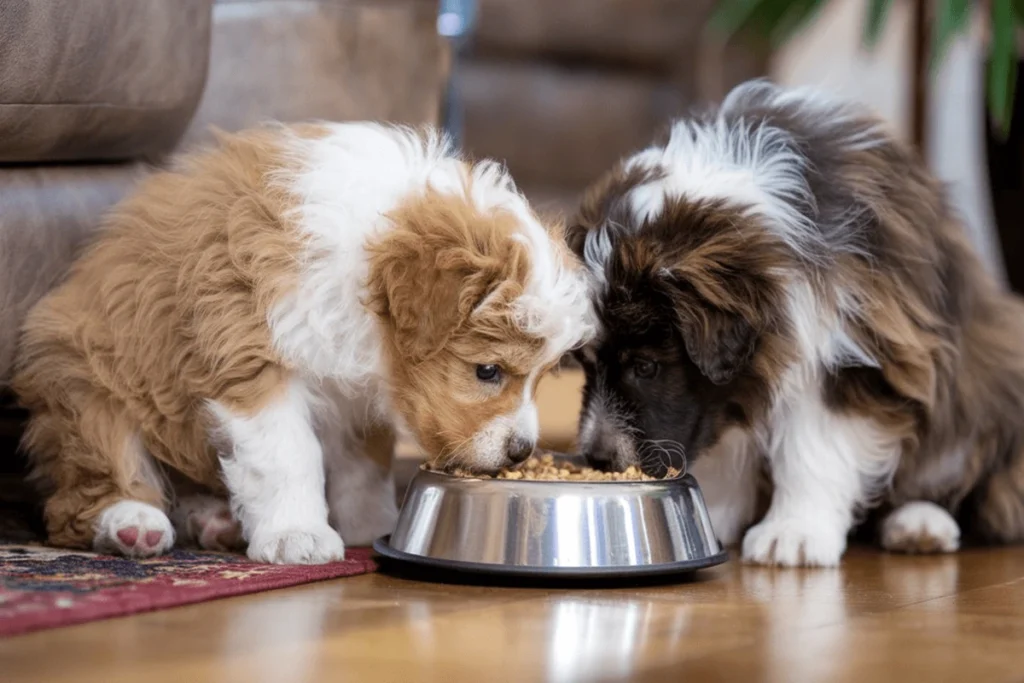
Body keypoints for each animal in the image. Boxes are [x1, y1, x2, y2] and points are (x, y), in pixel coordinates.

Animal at [14, 122, 593, 565]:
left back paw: (216, 521)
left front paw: (372, 522)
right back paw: (132, 523)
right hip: (87, 384)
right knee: (87, 489)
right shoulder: (252, 359)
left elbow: (363, 464)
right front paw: (299, 535)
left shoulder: (358, 397)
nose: (521, 451)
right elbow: (288, 455)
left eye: (541, 378)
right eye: (487, 371)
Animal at [565, 81, 1024, 565]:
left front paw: (794, 534)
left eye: (646, 367)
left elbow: (814, 445)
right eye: (587, 365)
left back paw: (920, 523)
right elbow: (728, 443)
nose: (597, 459)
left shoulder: (854, 348)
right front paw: (717, 512)